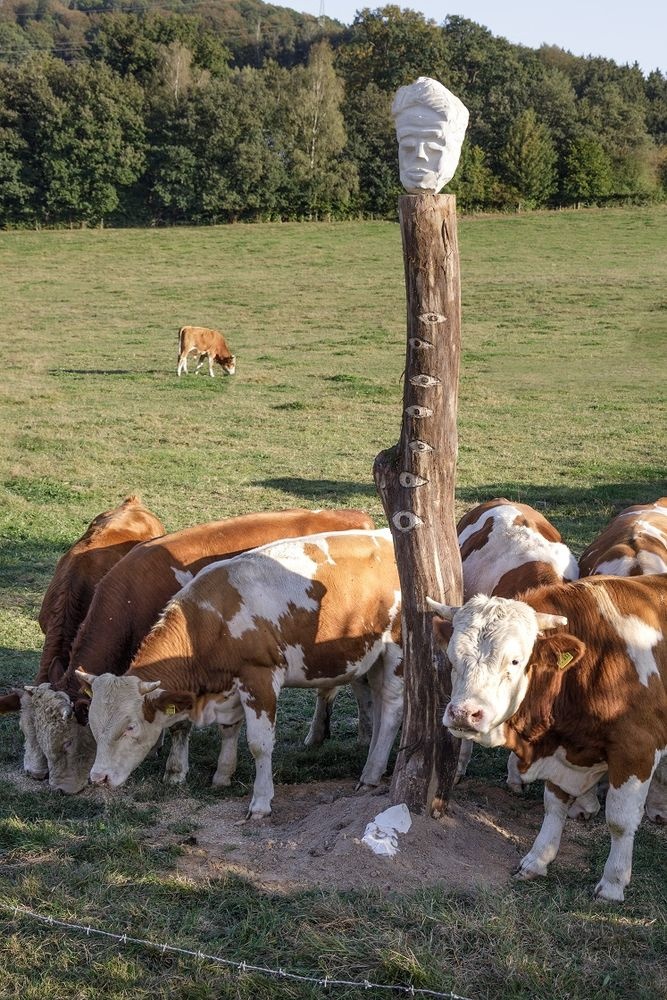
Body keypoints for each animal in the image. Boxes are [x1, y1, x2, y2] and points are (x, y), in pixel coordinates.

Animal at [31, 508, 374, 796]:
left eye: (68, 742)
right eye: (30, 732)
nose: (47, 781)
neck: (129, 601)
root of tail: (354, 515)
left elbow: (181, 722)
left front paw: (175, 770)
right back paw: (359, 735)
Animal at [428, 572, 667, 908]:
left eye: (515, 661)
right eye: (451, 657)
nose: (464, 713)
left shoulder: (636, 749)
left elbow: (620, 821)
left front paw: (613, 883)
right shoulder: (560, 747)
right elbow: (554, 805)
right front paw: (538, 859)